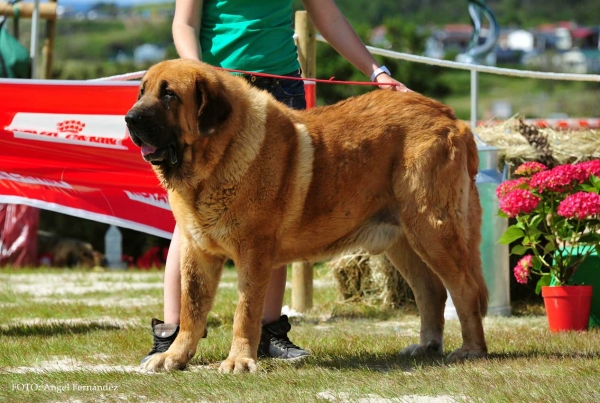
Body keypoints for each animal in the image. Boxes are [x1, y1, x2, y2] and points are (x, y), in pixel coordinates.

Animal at [125, 58, 488, 374]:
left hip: (432, 229)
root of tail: (450, 117)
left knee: (464, 288)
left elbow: (245, 311)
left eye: (169, 94)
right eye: (142, 92)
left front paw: (239, 361)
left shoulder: (253, 252)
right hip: (402, 241)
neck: (215, 160)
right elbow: (191, 308)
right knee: (432, 292)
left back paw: (472, 350)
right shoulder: (196, 250)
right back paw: (426, 346)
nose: (129, 118)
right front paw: (174, 357)